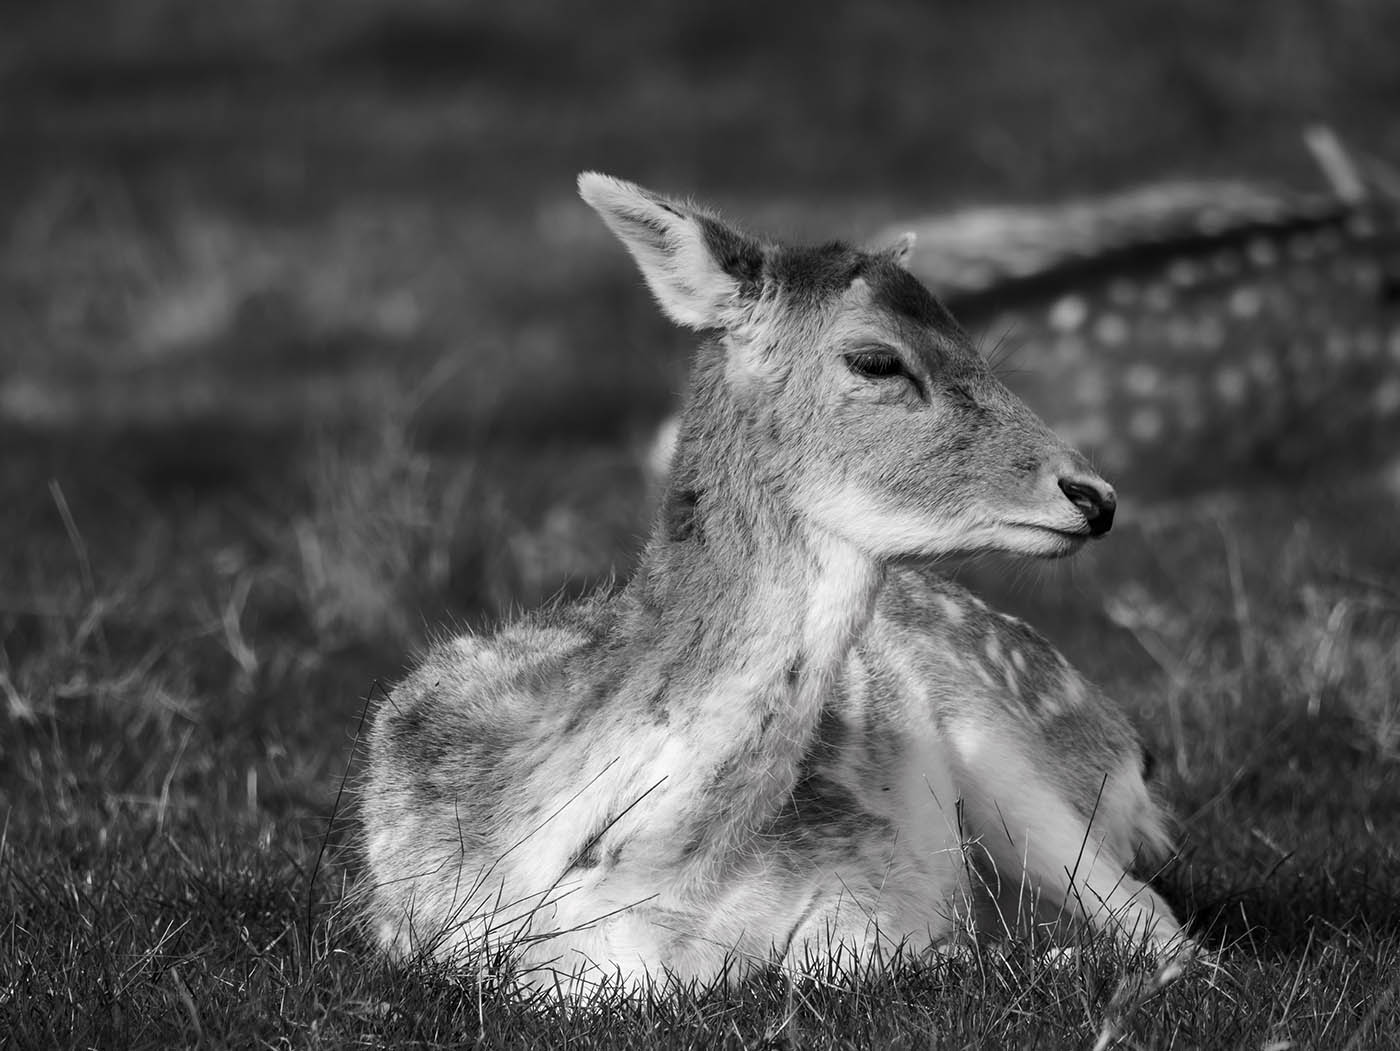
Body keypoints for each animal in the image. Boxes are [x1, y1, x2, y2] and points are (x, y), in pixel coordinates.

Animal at [358, 172, 1181, 996]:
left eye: (978, 345)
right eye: (876, 360)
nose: (1094, 495)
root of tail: (1130, 748)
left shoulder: (864, 881)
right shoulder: (409, 933)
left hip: (1019, 760)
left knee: (1165, 928)